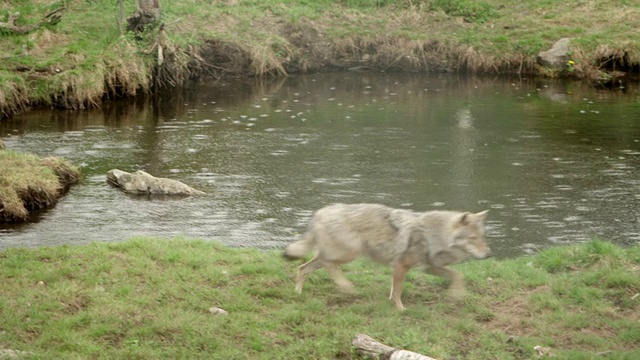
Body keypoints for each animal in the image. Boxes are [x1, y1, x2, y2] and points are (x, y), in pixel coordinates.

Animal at [284, 202, 490, 310]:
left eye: (482, 237)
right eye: (473, 238)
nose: (488, 253)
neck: (433, 234)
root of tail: (320, 212)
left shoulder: (428, 267)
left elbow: (458, 275)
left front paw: (457, 295)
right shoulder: (400, 266)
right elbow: (398, 291)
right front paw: (400, 309)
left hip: (332, 255)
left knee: (303, 268)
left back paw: (298, 293)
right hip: (348, 254)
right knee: (329, 265)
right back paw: (346, 287)